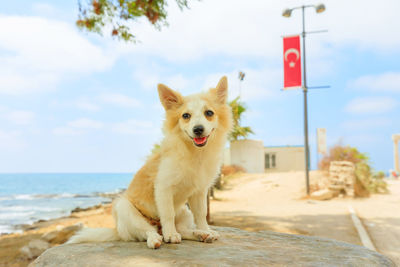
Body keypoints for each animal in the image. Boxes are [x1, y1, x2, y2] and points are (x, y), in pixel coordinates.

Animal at [68, 76, 231, 250]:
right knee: (148, 231)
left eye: (209, 113)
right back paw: (158, 238)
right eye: (186, 116)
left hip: (184, 212)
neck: (195, 153)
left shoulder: (200, 191)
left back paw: (201, 234)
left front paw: (206, 229)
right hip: (124, 208)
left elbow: (201, 214)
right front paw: (171, 235)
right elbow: (168, 214)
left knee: (182, 230)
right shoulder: (163, 188)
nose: (198, 129)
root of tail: (118, 231)